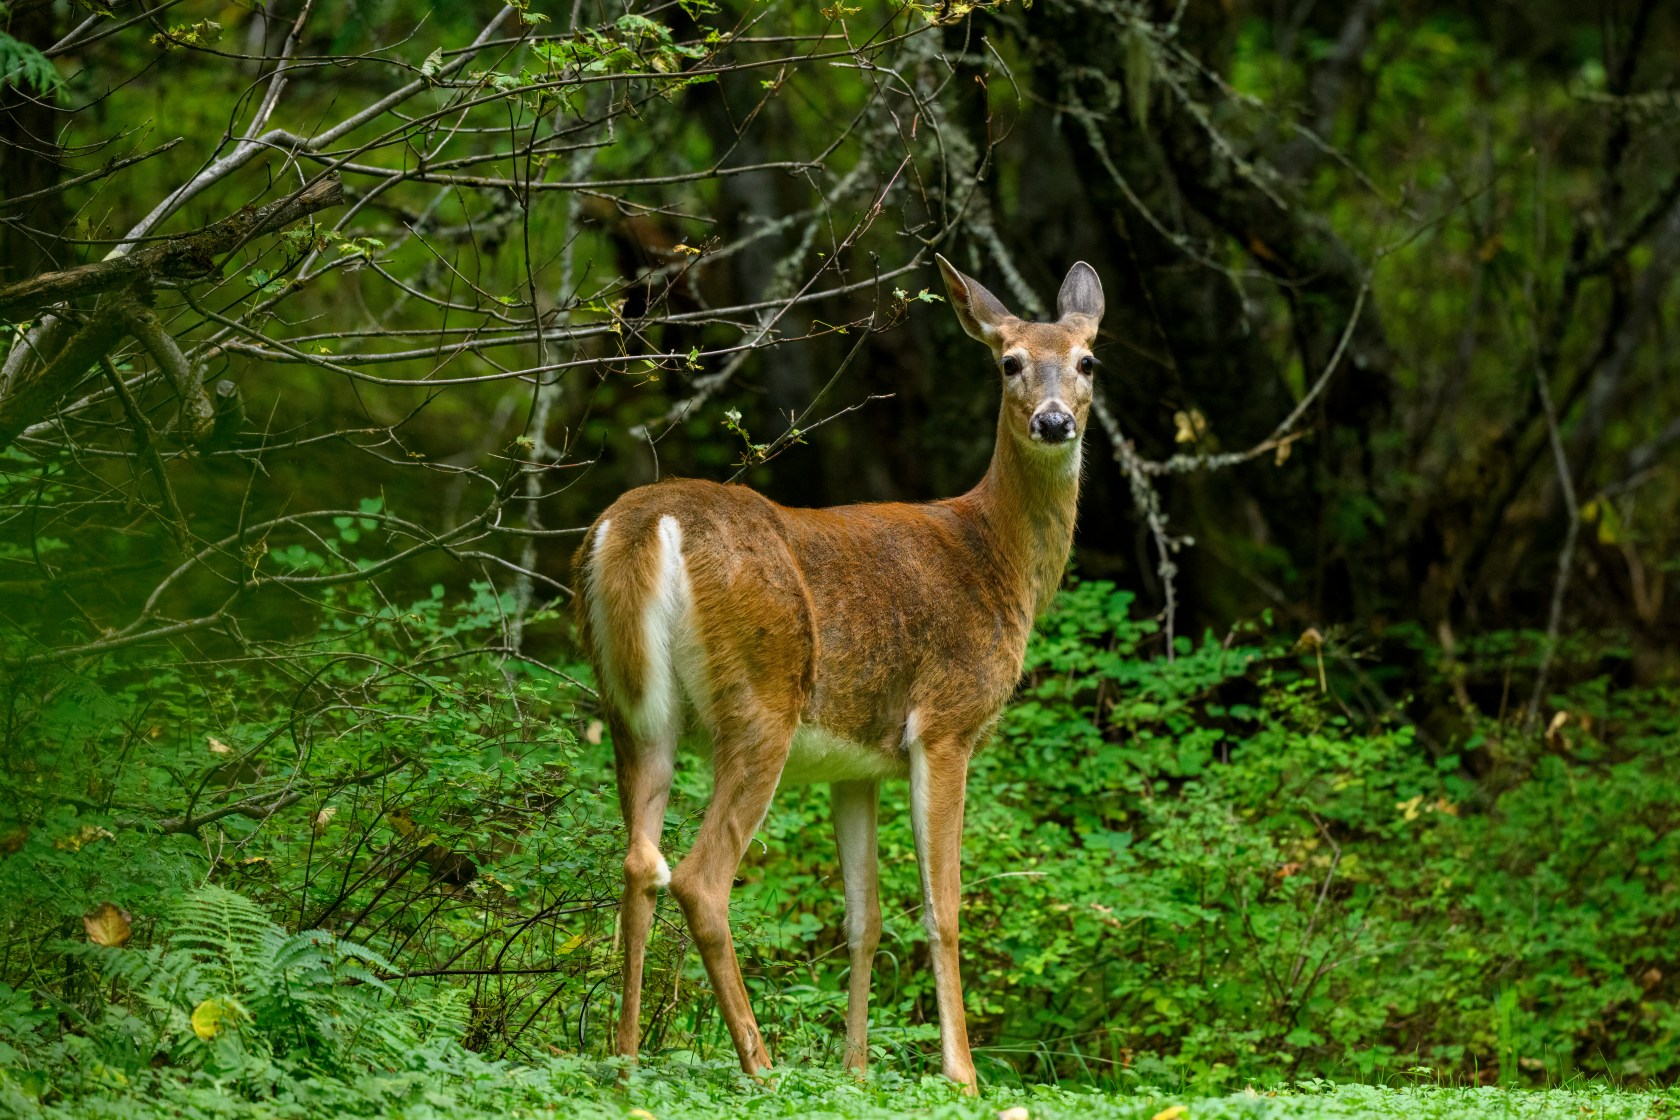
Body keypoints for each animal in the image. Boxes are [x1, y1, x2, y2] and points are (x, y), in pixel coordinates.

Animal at [577, 253, 1102, 1094]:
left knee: (636, 863)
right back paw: (761, 1066)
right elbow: (943, 907)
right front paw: (963, 1076)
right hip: (759, 702)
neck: (997, 558)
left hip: (632, 712)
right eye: (1009, 362)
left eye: (1086, 361)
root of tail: (643, 525)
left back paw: (624, 1062)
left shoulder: (854, 766)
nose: (1055, 421)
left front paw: (855, 1072)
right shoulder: (945, 723)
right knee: (699, 878)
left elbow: (865, 916)